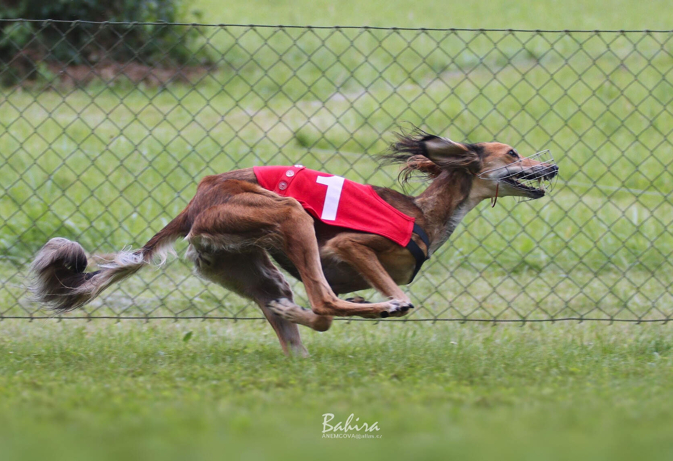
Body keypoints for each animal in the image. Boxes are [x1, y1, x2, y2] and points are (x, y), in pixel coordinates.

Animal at [28, 130, 556, 356]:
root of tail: (200, 197)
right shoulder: (347, 247)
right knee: (323, 302)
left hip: (250, 265)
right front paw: (387, 304)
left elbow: (327, 310)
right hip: (291, 215)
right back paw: (375, 309)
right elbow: (382, 295)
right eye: (513, 153)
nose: (550, 166)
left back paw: (294, 326)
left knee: (298, 312)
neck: (424, 214)